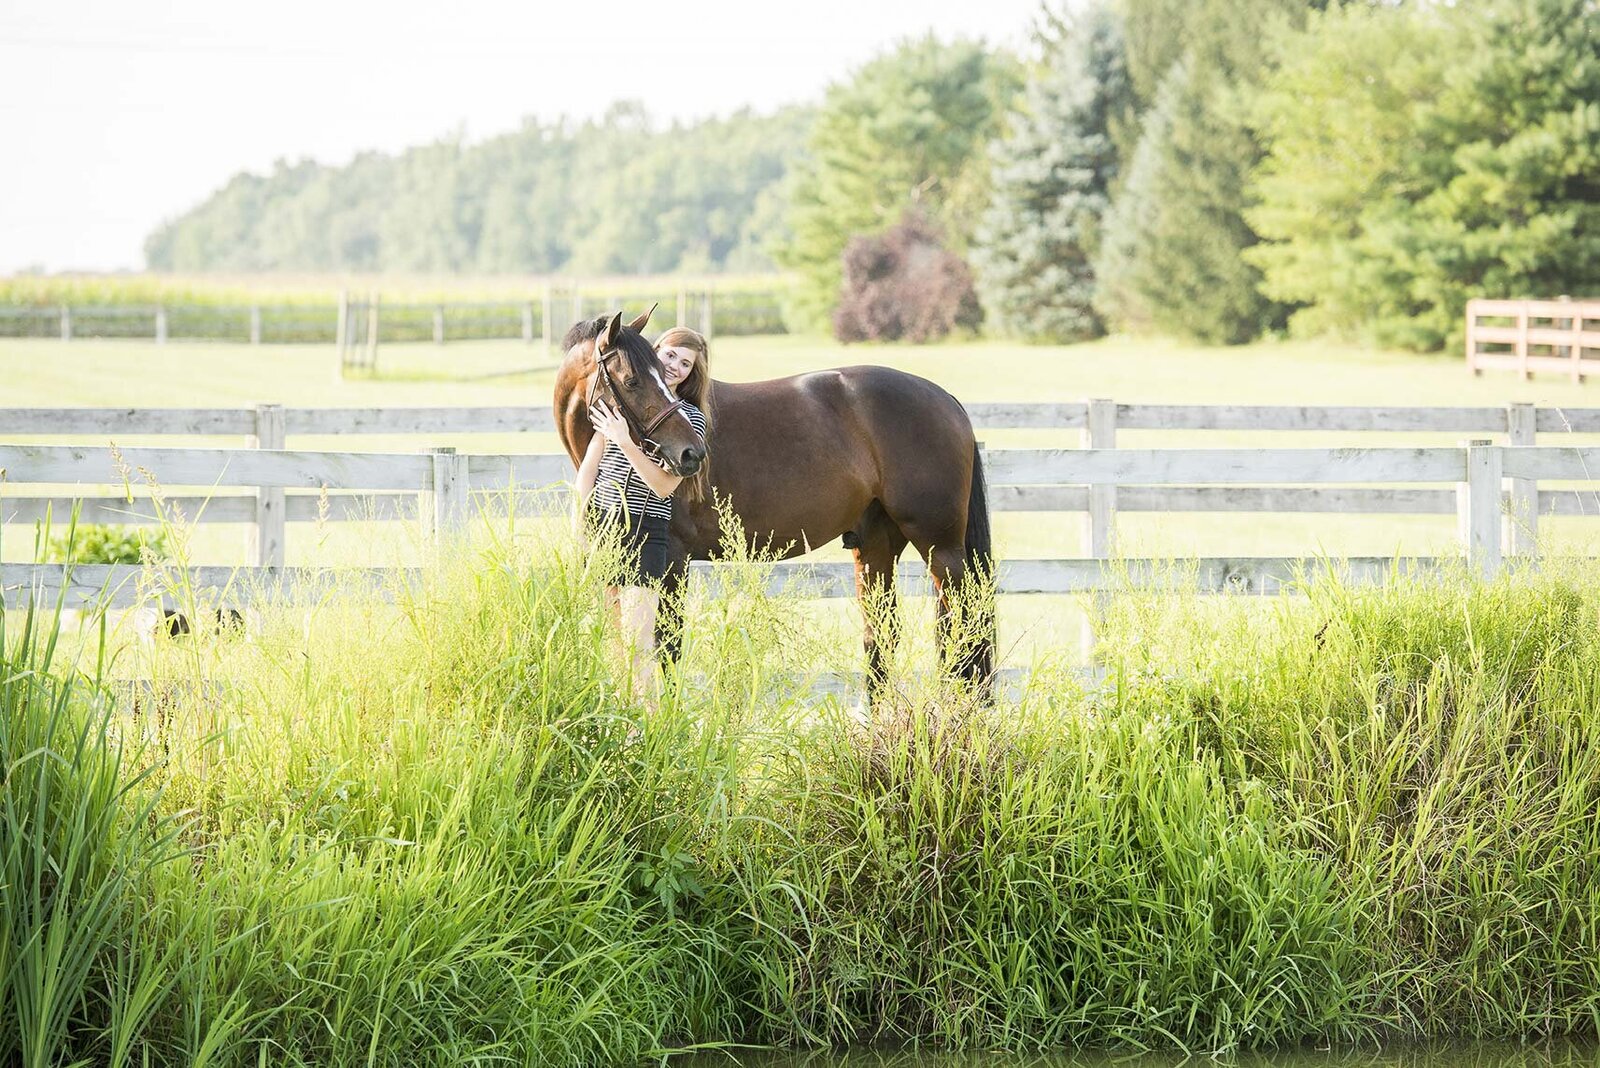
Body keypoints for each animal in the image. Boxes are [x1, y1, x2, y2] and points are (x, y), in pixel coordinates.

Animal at [556, 303, 992, 697]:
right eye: (631, 381)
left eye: (666, 374)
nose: (691, 454)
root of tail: (945, 399)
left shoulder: (672, 561)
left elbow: (666, 648)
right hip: (876, 547)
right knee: (882, 636)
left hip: (941, 548)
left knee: (963, 632)